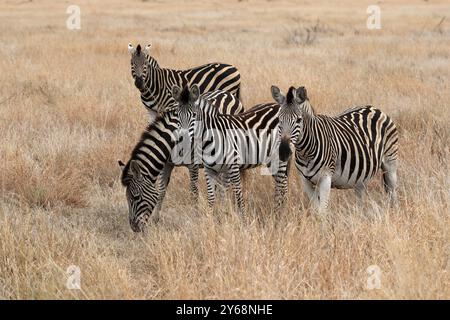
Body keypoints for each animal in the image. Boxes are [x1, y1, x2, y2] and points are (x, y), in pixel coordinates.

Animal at [128, 42, 244, 215]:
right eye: (132, 64)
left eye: (146, 65)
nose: (139, 83)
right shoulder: (152, 112)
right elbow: (162, 190)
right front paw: (156, 218)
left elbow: (193, 193)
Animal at [170, 84, 292, 215]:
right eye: (177, 115)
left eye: (194, 115)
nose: (184, 140)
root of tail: (277, 105)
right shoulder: (209, 170)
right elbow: (212, 197)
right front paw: (213, 217)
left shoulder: (233, 167)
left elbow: (238, 195)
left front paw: (242, 218)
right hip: (270, 159)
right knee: (279, 184)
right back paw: (277, 210)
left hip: (279, 157)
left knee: (283, 185)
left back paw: (281, 212)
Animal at [272, 85, 400, 212]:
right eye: (278, 119)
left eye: (299, 120)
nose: (283, 152)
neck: (305, 152)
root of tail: (373, 108)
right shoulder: (305, 181)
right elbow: (316, 209)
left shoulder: (325, 178)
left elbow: (322, 210)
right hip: (362, 175)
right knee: (360, 199)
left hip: (390, 163)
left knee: (392, 192)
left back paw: (393, 211)